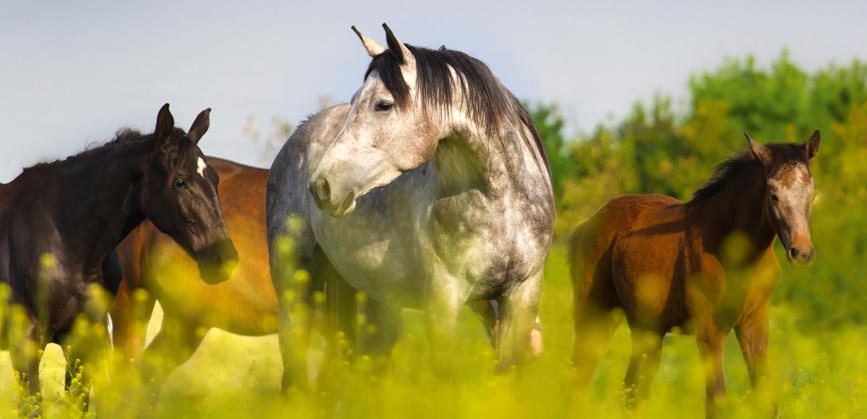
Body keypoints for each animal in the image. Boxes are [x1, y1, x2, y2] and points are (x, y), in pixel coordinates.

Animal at [568, 131, 820, 416]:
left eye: (811, 191)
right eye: (774, 195)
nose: (802, 252)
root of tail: (587, 224)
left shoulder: (754, 322)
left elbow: (767, 401)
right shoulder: (709, 329)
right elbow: (717, 402)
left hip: (647, 327)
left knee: (632, 392)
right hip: (595, 314)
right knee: (578, 378)